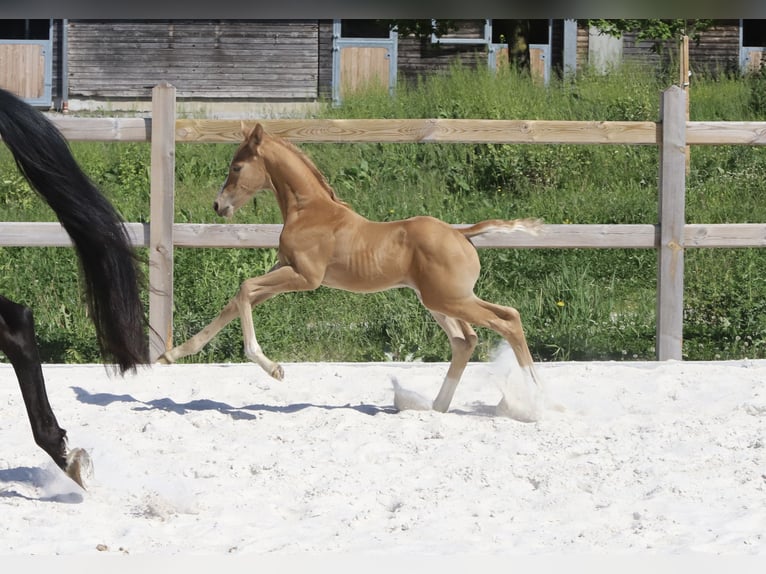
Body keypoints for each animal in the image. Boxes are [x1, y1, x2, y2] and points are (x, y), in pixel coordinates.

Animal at [159, 125, 544, 414]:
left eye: (237, 167)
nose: (218, 205)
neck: (309, 211)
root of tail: (462, 233)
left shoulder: (305, 277)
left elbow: (243, 289)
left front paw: (274, 369)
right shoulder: (285, 268)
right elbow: (236, 303)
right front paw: (171, 354)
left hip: (451, 299)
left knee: (507, 319)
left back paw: (536, 398)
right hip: (439, 300)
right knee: (466, 340)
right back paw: (436, 407)